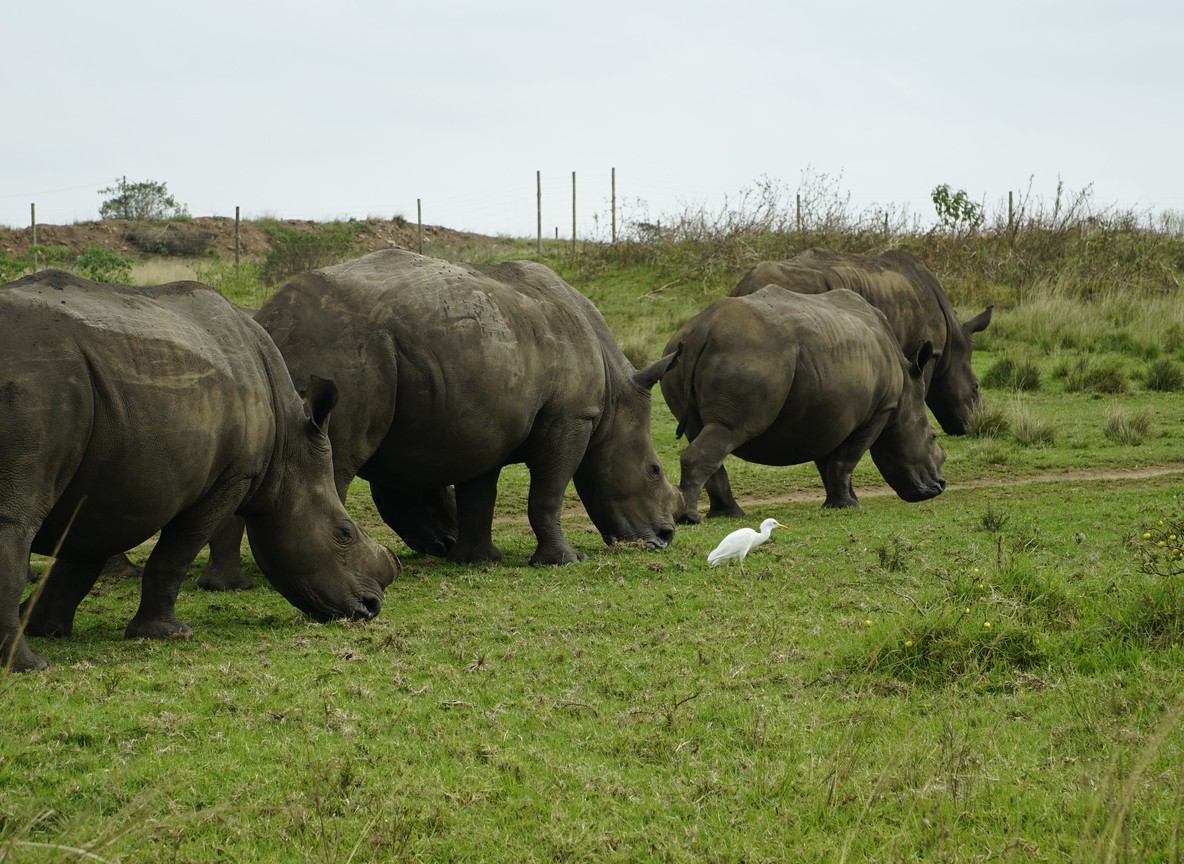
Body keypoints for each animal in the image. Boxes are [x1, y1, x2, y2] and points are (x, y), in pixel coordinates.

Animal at [1, 271, 399, 672]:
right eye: (343, 533)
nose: (371, 608)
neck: (289, 447)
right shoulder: (232, 478)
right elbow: (174, 555)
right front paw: (167, 634)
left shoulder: (107, 487)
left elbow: (80, 561)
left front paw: (45, 627)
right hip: (40, 384)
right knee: (16, 525)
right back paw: (29, 666)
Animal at [202, 248, 682, 571]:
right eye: (654, 470)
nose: (665, 537)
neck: (615, 391)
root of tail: (271, 321)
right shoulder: (572, 416)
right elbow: (548, 491)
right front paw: (565, 561)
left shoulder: (487, 422)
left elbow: (479, 493)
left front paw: (478, 559)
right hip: (344, 349)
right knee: (335, 459)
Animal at [661, 287, 946, 521]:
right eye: (932, 437)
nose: (939, 485)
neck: (906, 388)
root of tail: (700, 332)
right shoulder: (880, 410)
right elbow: (846, 459)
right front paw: (851, 506)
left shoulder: (827, 414)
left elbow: (829, 462)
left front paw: (839, 503)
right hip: (749, 353)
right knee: (729, 430)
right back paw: (692, 518)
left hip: (679, 355)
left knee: (701, 431)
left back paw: (728, 515)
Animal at [732, 249, 992, 434]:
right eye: (976, 387)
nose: (971, 427)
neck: (953, 343)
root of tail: (744, 285)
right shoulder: (930, 349)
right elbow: (922, 388)